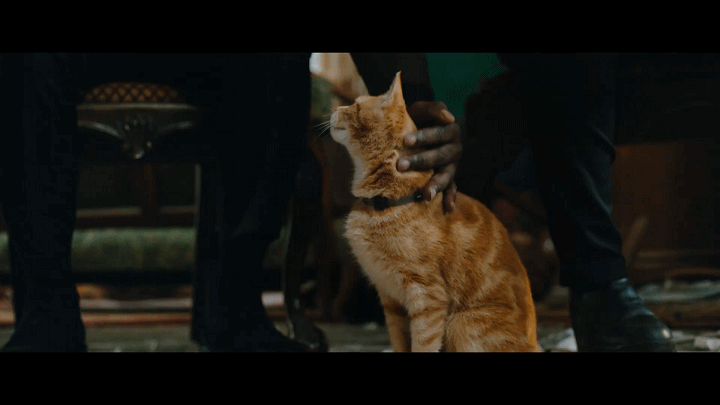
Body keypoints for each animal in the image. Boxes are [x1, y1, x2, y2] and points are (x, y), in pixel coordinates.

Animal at [330, 72, 539, 352]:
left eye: (355, 106)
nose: (335, 109)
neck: (387, 198)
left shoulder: (428, 297)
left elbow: (423, 345)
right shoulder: (391, 301)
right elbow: (400, 344)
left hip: (461, 323)